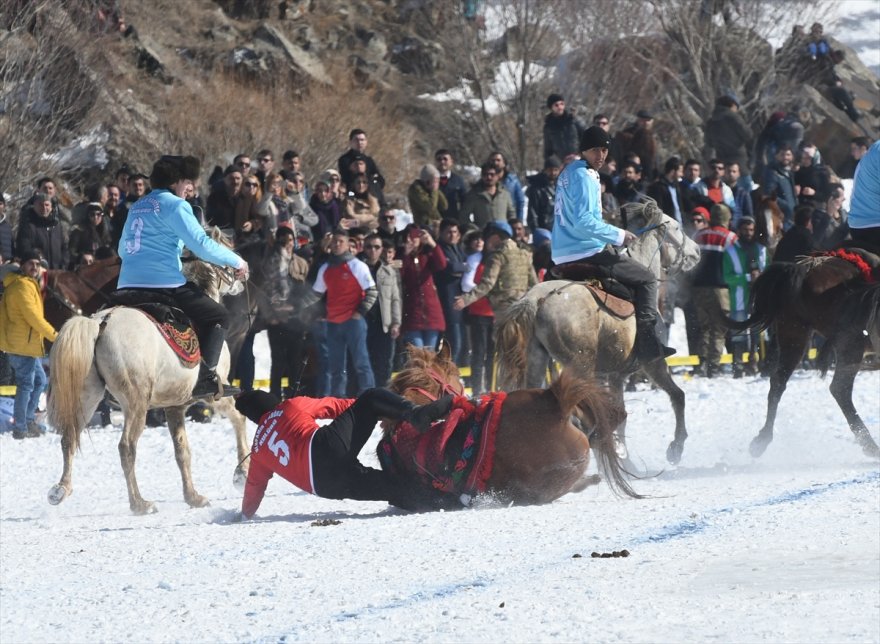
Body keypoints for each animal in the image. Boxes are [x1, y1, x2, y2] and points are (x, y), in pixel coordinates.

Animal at [48, 234, 249, 516]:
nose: (242, 277)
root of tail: (100, 322)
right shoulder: (213, 396)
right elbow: (239, 419)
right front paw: (241, 474)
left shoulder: (175, 406)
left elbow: (182, 451)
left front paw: (193, 497)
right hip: (136, 403)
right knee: (126, 447)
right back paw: (140, 503)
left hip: (86, 397)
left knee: (69, 437)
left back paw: (60, 490)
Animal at [496, 200, 700, 462]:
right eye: (676, 226)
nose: (697, 252)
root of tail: (535, 299)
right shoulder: (653, 362)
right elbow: (677, 396)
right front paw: (676, 447)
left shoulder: (616, 375)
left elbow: (622, 416)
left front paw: (624, 454)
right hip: (581, 366)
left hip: (538, 362)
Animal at [732, 252, 880, 458]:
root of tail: (802, 268)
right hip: (835, 343)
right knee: (839, 389)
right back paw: (870, 445)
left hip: (794, 334)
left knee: (778, 382)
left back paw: (762, 438)